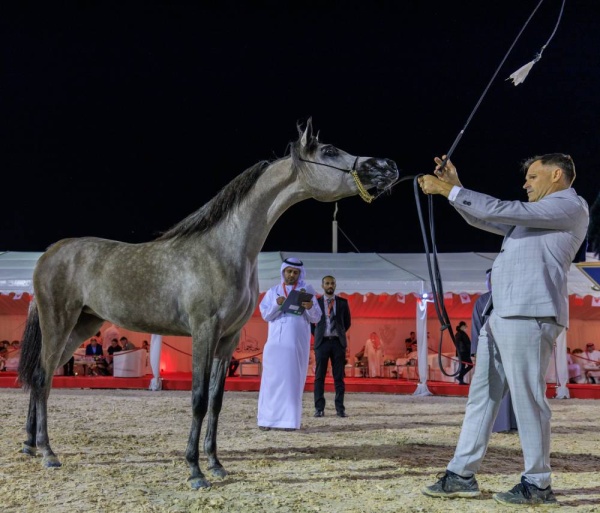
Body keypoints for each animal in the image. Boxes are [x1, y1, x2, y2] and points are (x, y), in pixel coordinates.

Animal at [17, 117, 398, 488]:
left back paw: (30, 446)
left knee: (42, 378)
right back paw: (48, 453)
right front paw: (194, 470)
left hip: (81, 327)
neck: (225, 249)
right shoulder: (205, 331)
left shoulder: (227, 340)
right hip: (58, 323)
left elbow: (216, 401)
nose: (387, 166)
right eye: (330, 150)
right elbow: (198, 399)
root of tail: (49, 253)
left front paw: (215, 464)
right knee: (42, 378)